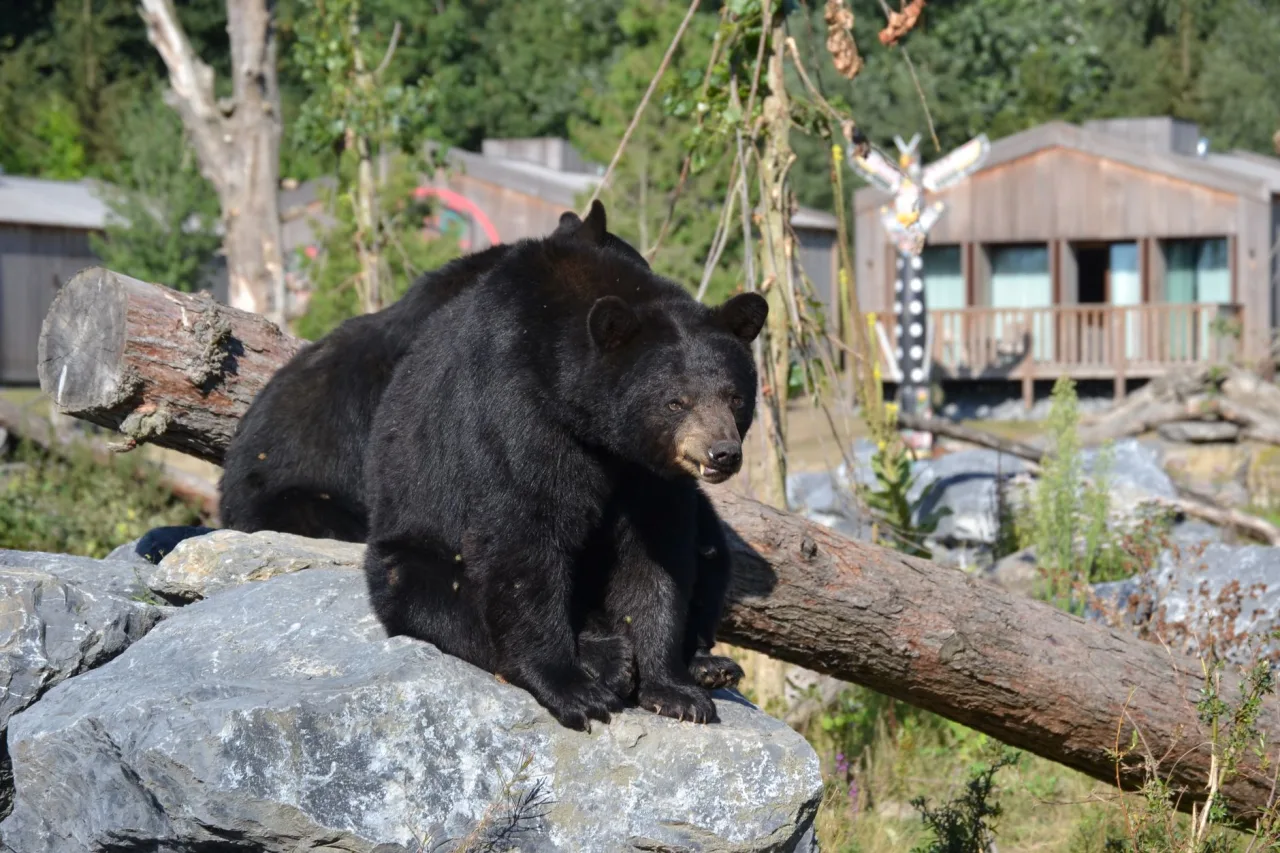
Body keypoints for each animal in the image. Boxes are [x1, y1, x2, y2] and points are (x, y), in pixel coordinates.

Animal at [361, 201, 767, 730]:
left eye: (735, 397)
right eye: (676, 401)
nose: (723, 453)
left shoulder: (645, 472)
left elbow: (658, 552)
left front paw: (674, 690)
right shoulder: (518, 413)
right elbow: (524, 533)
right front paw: (575, 690)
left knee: (712, 552)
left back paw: (706, 664)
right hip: (412, 549)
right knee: (442, 601)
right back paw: (605, 657)